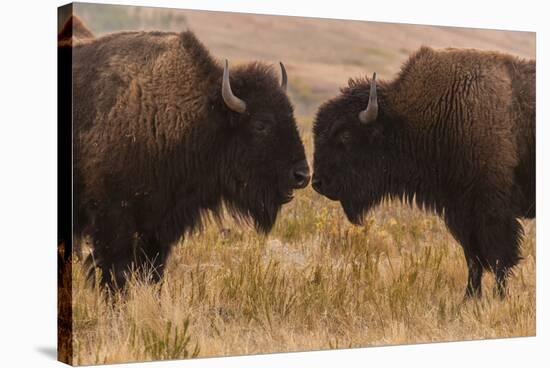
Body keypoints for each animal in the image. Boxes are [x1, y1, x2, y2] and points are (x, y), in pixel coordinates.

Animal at [64, 29, 310, 288]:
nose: (302, 175)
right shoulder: (114, 219)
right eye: (261, 124)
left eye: (291, 115)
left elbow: (152, 271)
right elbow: (116, 270)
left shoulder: (159, 226)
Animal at [312, 46, 536, 300]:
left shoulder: (493, 212)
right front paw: (469, 298)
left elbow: (499, 259)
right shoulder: (461, 213)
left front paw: (498, 298)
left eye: (345, 136)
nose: (318, 182)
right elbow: (473, 259)